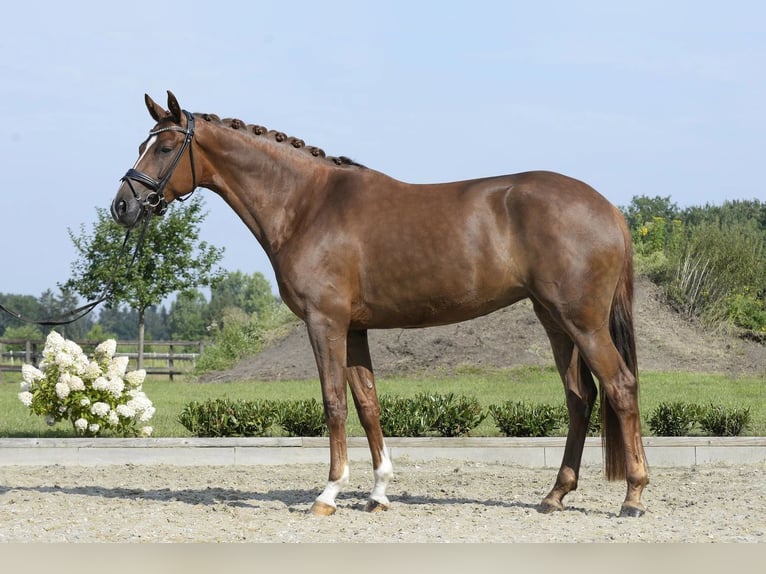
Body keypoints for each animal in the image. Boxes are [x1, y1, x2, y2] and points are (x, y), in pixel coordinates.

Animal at [111, 91, 649, 517]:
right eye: (141, 144)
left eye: (164, 147)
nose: (123, 205)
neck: (307, 205)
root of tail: (609, 209)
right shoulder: (353, 328)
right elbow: (368, 403)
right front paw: (378, 493)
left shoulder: (324, 323)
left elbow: (334, 403)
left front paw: (328, 494)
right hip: (555, 320)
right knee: (580, 398)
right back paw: (555, 495)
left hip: (582, 322)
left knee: (620, 386)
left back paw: (633, 497)